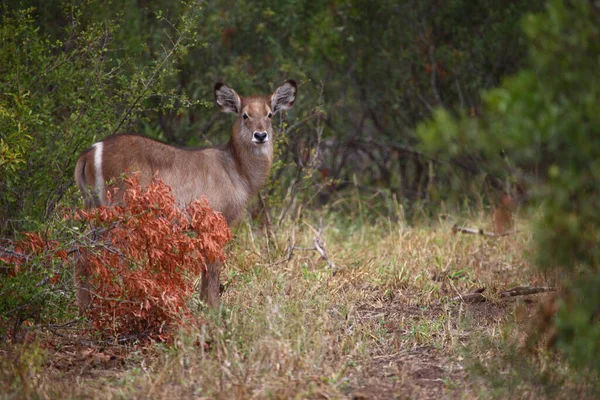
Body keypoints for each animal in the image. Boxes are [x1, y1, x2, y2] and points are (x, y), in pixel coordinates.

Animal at [74, 79, 298, 308]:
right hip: (118, 213)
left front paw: (203, 305)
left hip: (94, 210)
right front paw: (214, 310)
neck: (237, 170)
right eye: (245, 115)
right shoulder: (216, 221)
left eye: (269, 114)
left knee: (81, 250)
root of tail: (90, 152)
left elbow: (205, 270)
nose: (260, 135)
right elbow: (214, 268)